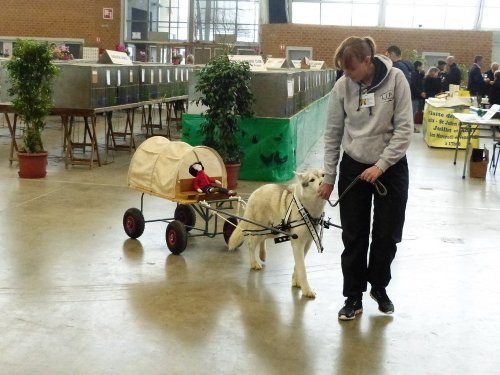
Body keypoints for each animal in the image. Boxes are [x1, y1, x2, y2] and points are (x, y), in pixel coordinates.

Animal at [229, 170, 326, 300]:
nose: (323, 183)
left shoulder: (307, 243)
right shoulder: (298, 243)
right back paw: (254, 263)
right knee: (251, 244)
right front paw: (307, 290)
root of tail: (256, 191)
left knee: (262, 239)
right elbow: (302, 269)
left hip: (274, 230)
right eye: (312, 180)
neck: (306, 209)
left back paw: (262, 254)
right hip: (261, 227)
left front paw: (296, 281)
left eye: (323, 175)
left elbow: (298, 266)